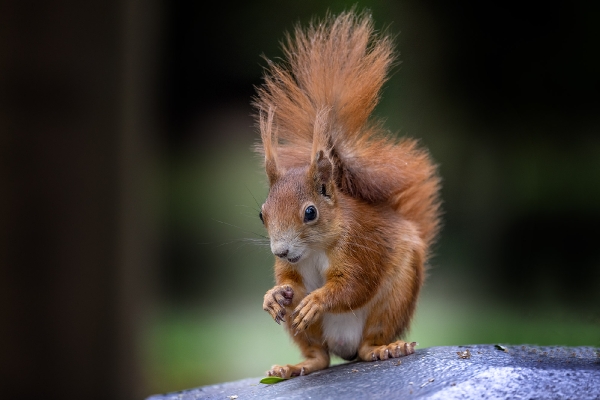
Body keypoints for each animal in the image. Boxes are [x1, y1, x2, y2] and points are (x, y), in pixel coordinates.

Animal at [252, 9, 440, 378]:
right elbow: (291, 284)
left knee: (370, 342)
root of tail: (346, 347)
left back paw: (387, 349)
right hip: (306, 331)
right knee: (319, 357)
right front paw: (273, 295)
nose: (281, 251)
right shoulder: (293, 269)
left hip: (393, 301)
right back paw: (294, 366)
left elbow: (354, 285)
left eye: (310, 212)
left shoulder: (360, 246)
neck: (315, 249)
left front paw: (318, 299)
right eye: (262, 214)